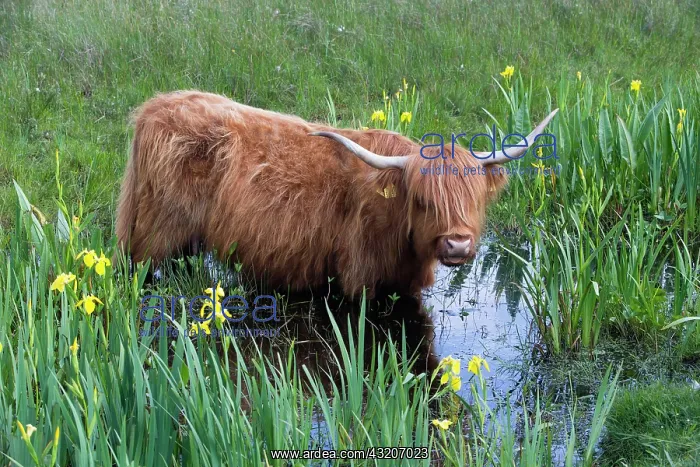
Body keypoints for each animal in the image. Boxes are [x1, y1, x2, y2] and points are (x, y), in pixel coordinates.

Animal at [116, 91, 557, 298]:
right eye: (424, 201)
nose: (458, 244)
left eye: (473, 200)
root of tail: (152, 109)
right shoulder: (360, 280)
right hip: (153, 234)